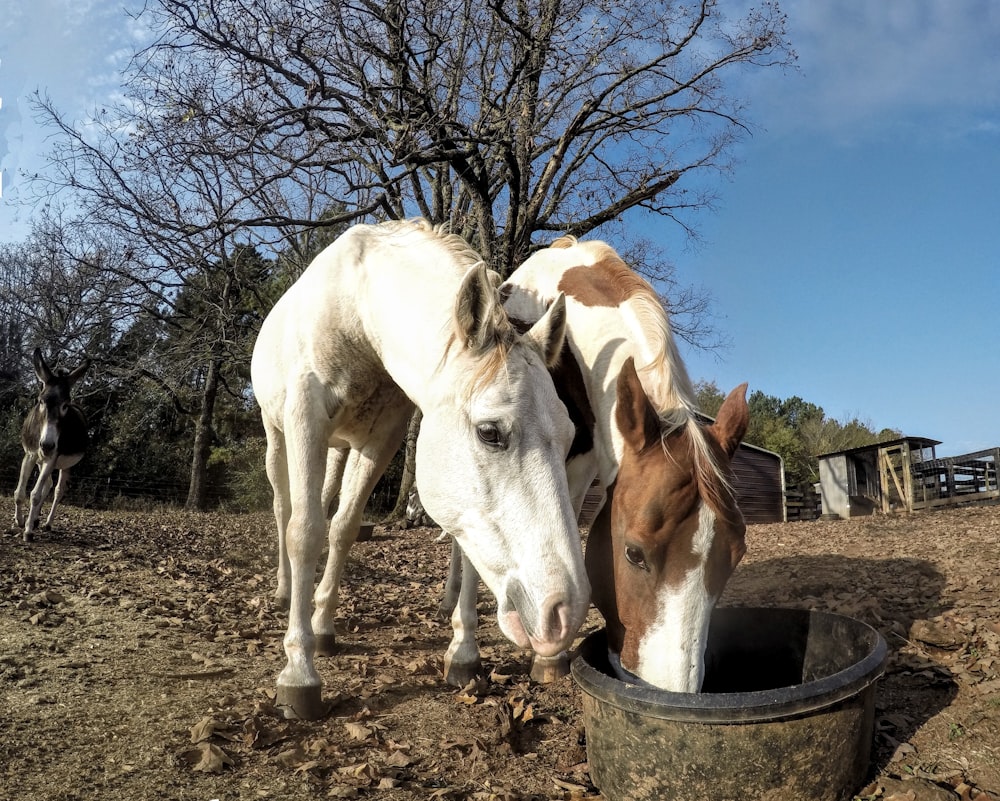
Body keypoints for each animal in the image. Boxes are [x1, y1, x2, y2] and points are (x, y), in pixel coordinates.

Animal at [13, 346, 90, 540]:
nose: (47, 445)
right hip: (42, 461)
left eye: (65, 405)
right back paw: (35, 520)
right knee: (47, 485)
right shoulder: (31, 454)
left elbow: (35, 495)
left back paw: (46, 523)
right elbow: (20, 493)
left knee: (57, 490)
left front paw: (28, 531)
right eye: (40, 401)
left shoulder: (52, 458)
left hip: (65, 465)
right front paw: (20, 521)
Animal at [252, 219, 592, 720]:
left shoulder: (381, 439)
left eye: (569, 436)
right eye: (489, 432)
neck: (358, 309)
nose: (564, 612)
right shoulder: (304, 418)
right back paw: (283, 591)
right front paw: (299, 671)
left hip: (337, 448)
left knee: (331, 509)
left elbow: (344, 529)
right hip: (278, 435)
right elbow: (305, 532)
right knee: (283, 510)